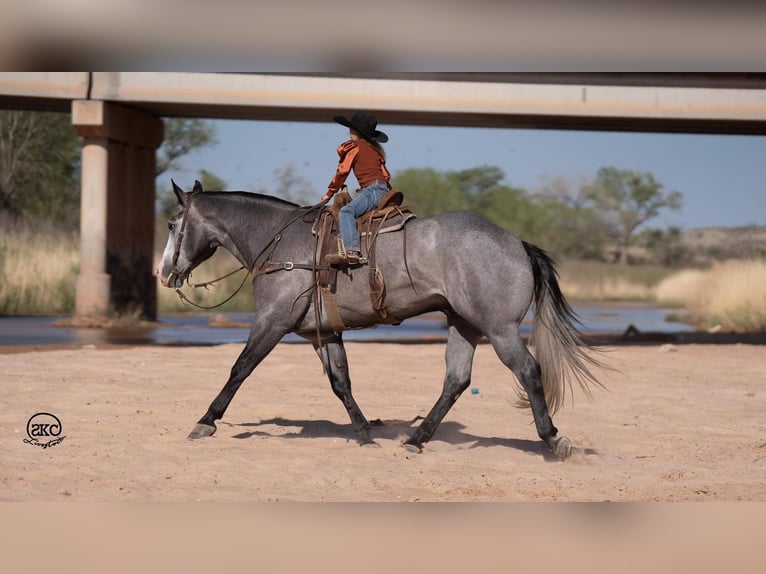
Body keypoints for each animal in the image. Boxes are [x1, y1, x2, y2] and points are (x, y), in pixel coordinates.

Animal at [156, 182, 608, 462]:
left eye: (173, 224)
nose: (164, 273)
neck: (282, 245)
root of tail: (516, 242)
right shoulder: (323, 334)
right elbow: (340, 382)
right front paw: (363, 433)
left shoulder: (272, 323)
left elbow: (240, 369)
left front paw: (206, 421)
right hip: (464, 325)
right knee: (456, 380)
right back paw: (416, 439)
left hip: (500, 331)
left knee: (529, 371)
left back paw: (553, 439)